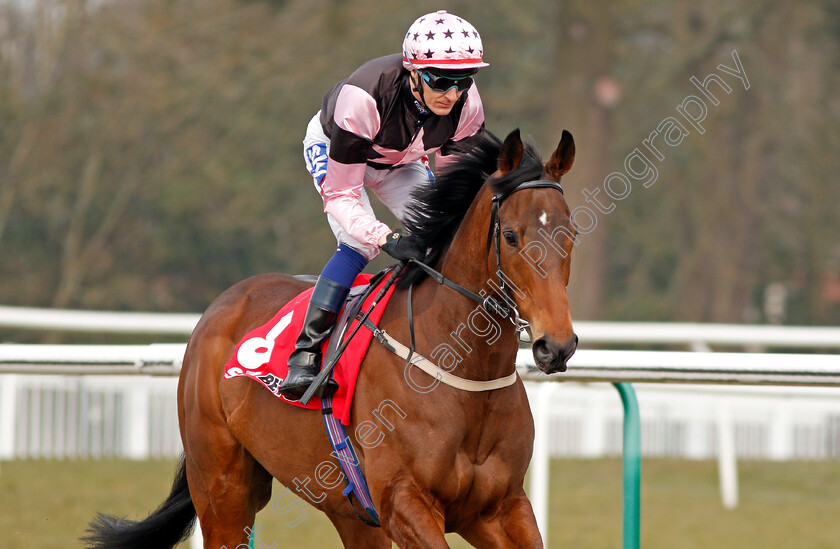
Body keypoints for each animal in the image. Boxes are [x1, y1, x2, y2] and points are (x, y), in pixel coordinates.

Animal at [83, 126, 576, 544]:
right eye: (510, 236)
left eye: (571, 233)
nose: (556, 345)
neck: (466, 376)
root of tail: (222, 305)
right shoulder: (404, 502)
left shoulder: (500, 507)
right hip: (223, 490)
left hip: (348, 511)